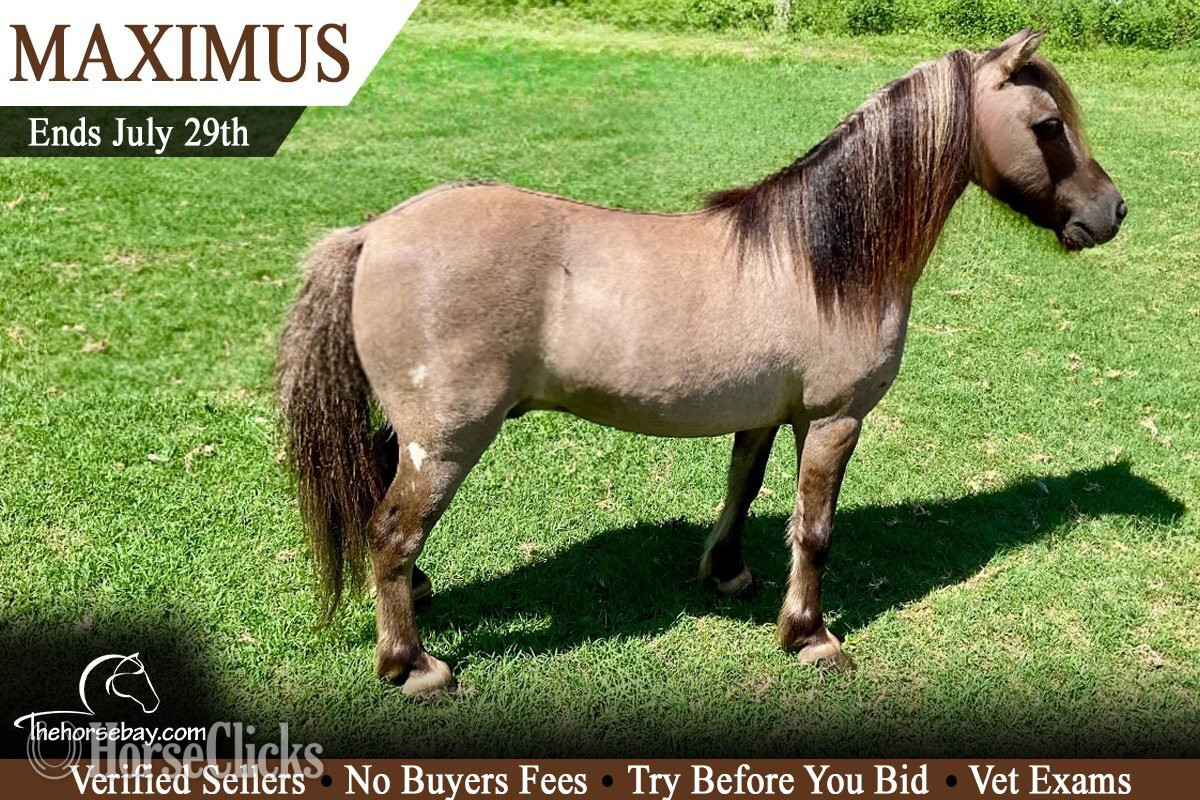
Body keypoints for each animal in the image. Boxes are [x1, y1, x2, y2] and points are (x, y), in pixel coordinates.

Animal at [277, 29, 1125, 696]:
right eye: (1049, 124)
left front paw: (726, 573)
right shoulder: (834, 420)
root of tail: (373, 233)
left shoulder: (766, 414)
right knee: (392, 531)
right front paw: (809, 636)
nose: (1112, 211)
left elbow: (742, 490)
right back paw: (411, 665)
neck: (823, 259)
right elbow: (814, 530)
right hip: (447, 440)